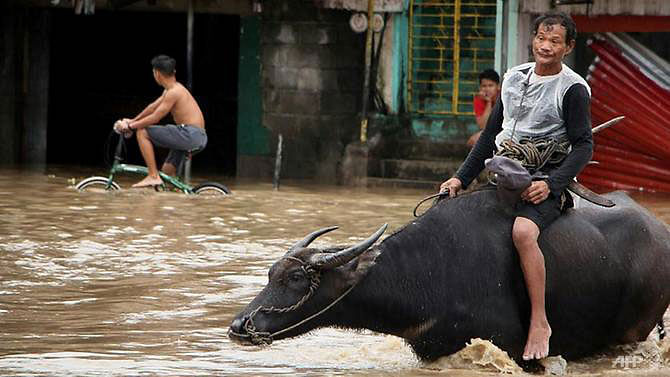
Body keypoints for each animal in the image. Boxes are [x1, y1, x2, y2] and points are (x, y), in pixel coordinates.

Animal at [230, 189, 670, 362]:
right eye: (270, 273)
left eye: (296, 280)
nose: (239, 326)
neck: (429, 271)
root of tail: (659, 230)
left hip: (633, 329)